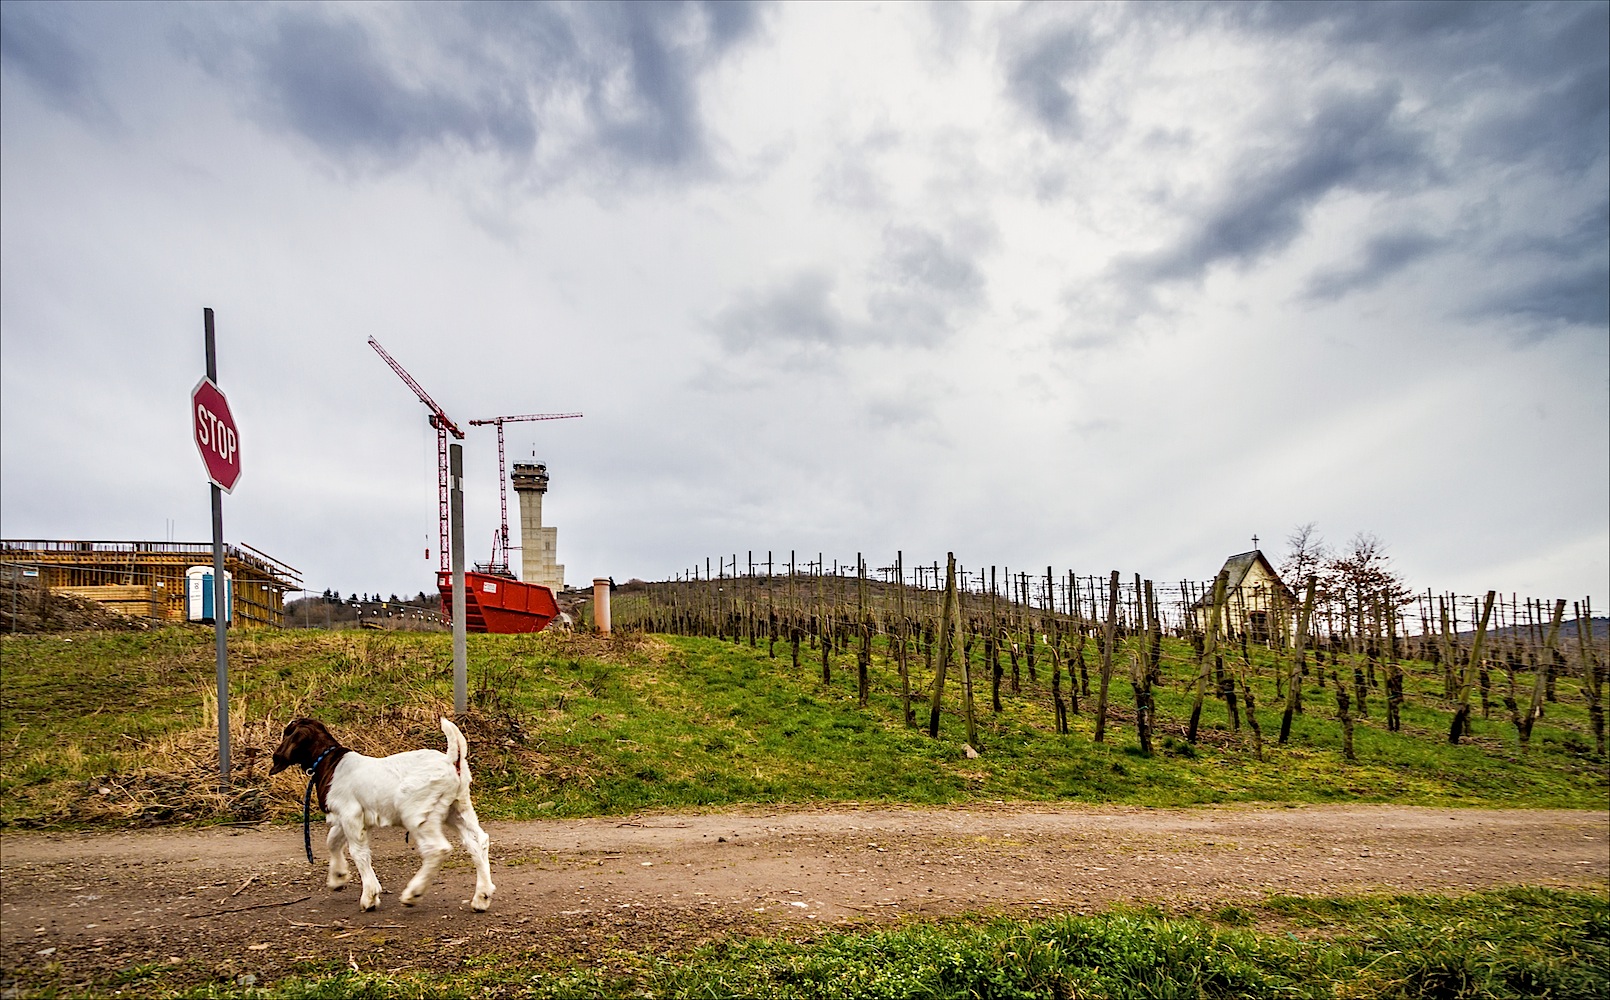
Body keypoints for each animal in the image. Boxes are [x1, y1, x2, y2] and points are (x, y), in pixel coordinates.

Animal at [270, 718, 495, 914]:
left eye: (287, 732)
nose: (276, 756)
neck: (329, 762)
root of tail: (451, 760)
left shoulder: (351, 814)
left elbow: (358, 852)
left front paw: (369, 896)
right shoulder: (346, 817)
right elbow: (332, 841)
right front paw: (338, 877)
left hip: (418, 813)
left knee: (437, 849)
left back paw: (413, 894)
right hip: (457, 807)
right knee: (478, 841)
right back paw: (481, 897)